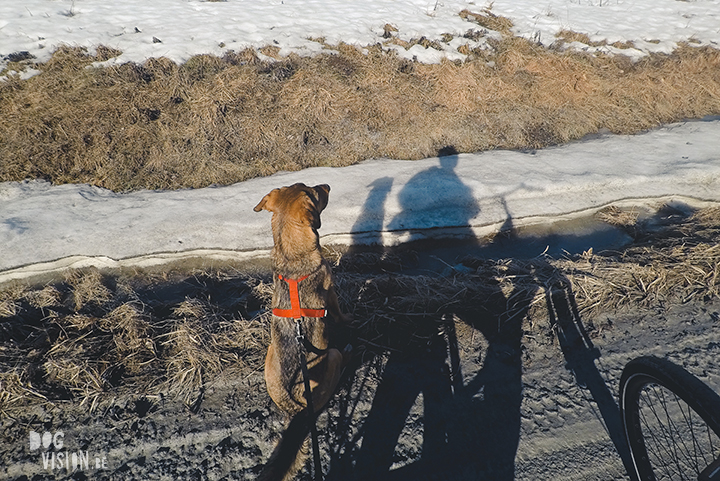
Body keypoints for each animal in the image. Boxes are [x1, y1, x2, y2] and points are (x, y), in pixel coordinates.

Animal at [256, 182, 352, 478]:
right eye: (315, 193)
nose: (328, 185)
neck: (291, 254)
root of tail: (296, 409)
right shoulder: (331, 292)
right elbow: (339, 312)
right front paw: (348, 320)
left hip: (270, 352)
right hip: (332, 356)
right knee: (339, 362)